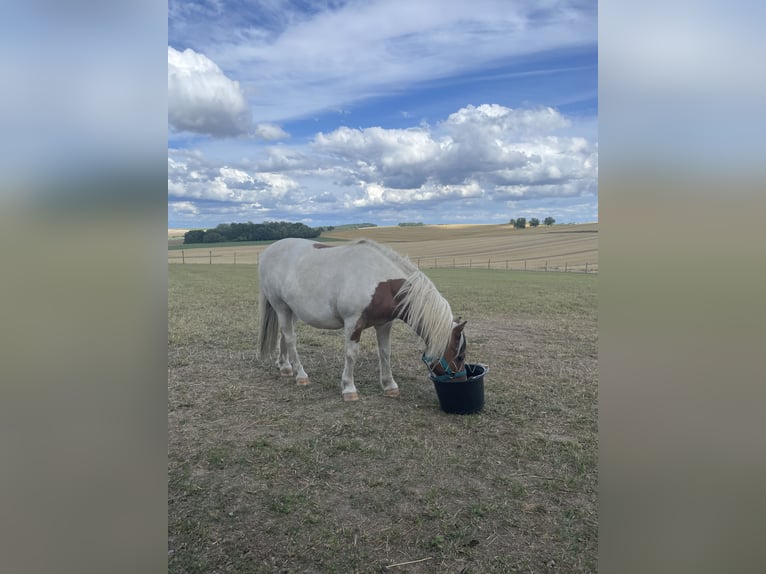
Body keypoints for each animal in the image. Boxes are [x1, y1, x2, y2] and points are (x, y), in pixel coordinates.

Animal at [258, 238, 467, 401]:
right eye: (460, 355)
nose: (461, 382)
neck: (380, 282)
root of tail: (269, 251)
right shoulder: (353, 323)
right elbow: (351, 354)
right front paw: (349, 389)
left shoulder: (384, 324)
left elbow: (385, 352)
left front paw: (390, 386)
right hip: (281, 307)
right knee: (290, 339)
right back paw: (301, 375)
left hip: (291, 310)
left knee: (284, 335)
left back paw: (285, 367)